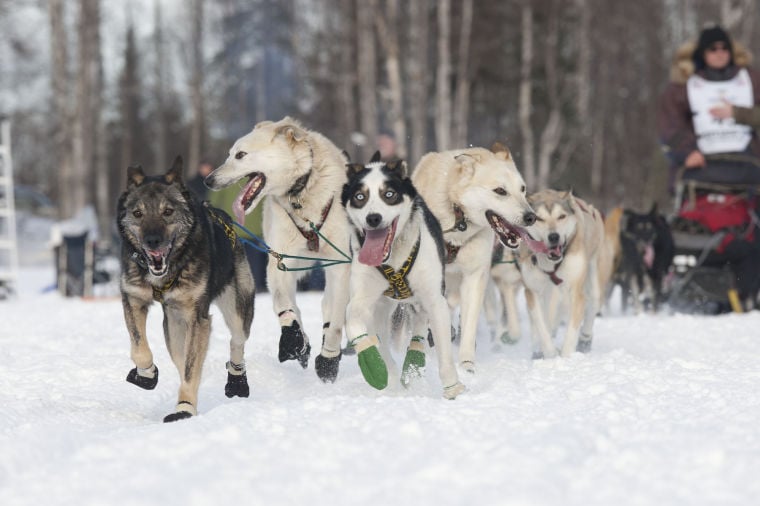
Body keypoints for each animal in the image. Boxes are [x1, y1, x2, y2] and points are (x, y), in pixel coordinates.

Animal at [117, 155, 255, 422]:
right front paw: (146, 374)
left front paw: (184, 408)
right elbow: (139, 348)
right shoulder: (133, 299)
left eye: (168, 212)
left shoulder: (197, 319)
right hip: (174, 326)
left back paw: (235, 382)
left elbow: (192, 369)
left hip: (236, 310)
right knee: (182, 362)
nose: (152, 241)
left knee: (237, 341)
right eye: (138, 213)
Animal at [206, 116, 352, 382]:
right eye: (229, 154)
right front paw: (294, 340)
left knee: (329, 306)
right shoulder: (280, 260)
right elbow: (284, 305)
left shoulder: (340, 264)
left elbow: (336, 321)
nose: (208, 180)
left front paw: (329, 360)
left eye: (240, 155)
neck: (301, 191)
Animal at [342, 153, 466, 400]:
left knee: (419, 326)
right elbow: (354, 322)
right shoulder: (361, 299)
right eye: (360, 197)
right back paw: (391, 375)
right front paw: (374, 367)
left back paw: (413, 361)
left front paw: (452, 387)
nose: (373, 218)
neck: (394, 259)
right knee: (382, 338)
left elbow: (444, 351)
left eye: (389, 194)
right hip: (381, 308)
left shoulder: (435, 299)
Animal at [512, 190, 616, 360]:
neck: (551, 263)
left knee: (593, 301)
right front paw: (549, 353)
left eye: (561, 216)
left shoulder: (575, 290)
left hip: (593, 271)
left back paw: (585, 338)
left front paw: (567, 357)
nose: (553, 236)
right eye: (539, 218)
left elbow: (572, 329)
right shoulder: (532, 291)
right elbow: (541, 324)